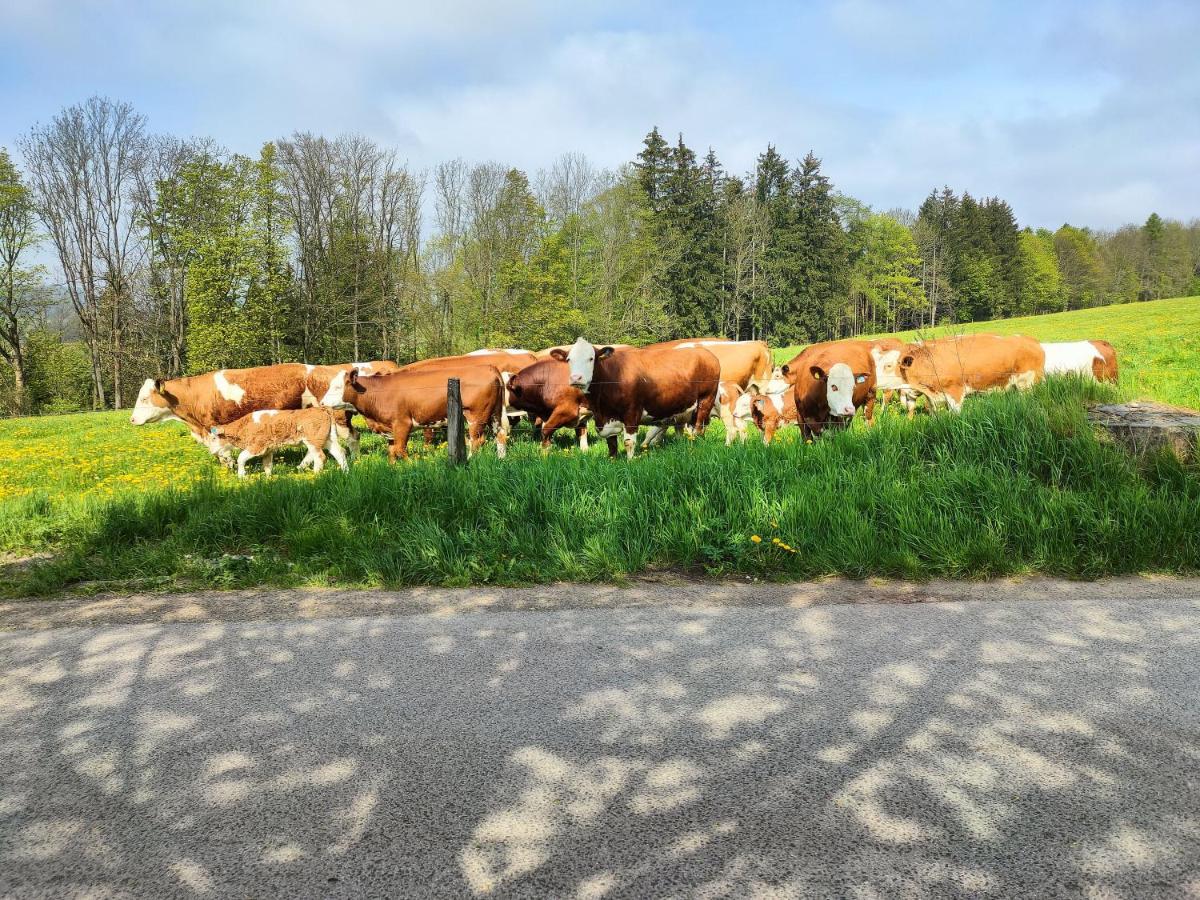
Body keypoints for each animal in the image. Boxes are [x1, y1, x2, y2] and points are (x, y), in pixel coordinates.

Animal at [211, 408, 348, 480]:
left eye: (213, 438)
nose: (211, 451)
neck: (244, 426)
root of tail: (322, 409)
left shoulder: (257, 446)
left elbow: (241, 458)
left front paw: (241, 476)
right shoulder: (267, 450)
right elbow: (267, 465)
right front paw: (269, 479)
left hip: (313, 441)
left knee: (320, 457)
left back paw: (315, 476)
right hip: (328, 439)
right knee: (340, 453)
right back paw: (345, 472)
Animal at [319, 362, 506, 460]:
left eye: (337, 387)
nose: (321, 403)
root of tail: (488, 367)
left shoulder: (402, 424)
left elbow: (400, 450)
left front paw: (411, 464)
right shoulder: (389, 430)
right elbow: (392, 452)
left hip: (476, 416)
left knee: (477, 440)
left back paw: (470, 460)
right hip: (495, 414)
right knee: (501, 435)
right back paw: (501, 459)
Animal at [554, 336, 720, 458]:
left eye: (591, 358)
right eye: (568, 359)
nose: (576, 378)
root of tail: (706, 353)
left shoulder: (631, 412)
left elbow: (629, 442)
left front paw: (630, 462)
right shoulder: (606, 419)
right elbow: (611, 444)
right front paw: (612, 460)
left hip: (705, 401)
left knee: (699, 428)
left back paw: (696, 446)